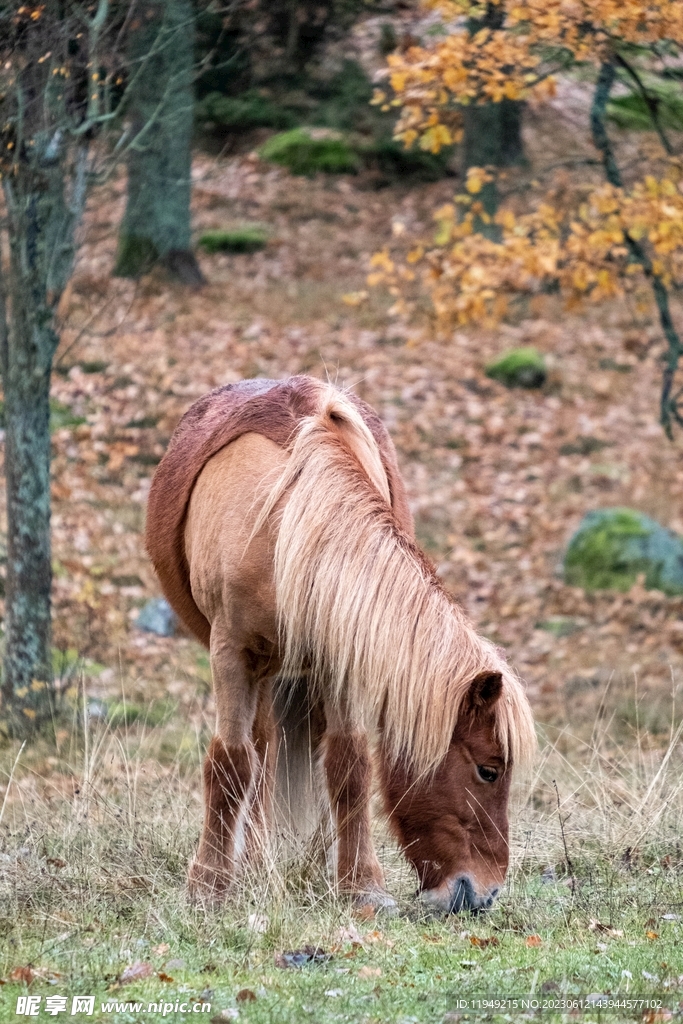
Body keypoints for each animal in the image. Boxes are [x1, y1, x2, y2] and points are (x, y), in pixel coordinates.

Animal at [146, 375, 535, 913]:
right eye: (489, 771)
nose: (483, 893)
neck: (285, 527)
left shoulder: (342, 658)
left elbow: (349, 765)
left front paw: (360, 886)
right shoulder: (229, 654)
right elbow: (230, 763)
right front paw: (208, 887)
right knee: (256, 756)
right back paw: (250, 865)